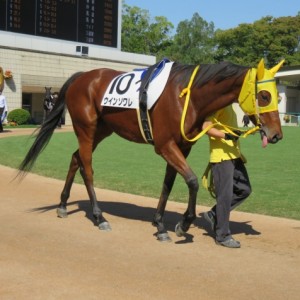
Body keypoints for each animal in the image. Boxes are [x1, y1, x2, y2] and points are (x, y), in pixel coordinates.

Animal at [18, 58, 284, 241]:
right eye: (263, 95)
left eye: (277, 97)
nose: (276, 135)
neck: (187, 96)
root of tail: (82, 77)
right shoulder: (165, 146)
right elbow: (192, 181)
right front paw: (183, 225)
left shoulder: (181, 148)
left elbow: (168, 184)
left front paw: (160, 224)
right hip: (86, 128)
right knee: (88, 168)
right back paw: (99, 216)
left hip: (102, 130)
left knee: (75, 159)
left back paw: (63, 205)